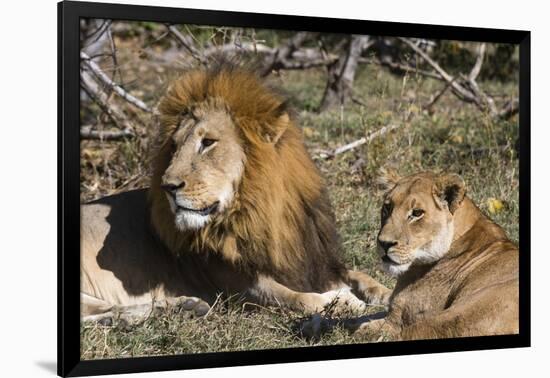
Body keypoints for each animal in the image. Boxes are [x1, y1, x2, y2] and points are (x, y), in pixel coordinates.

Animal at [82, 65, 392, 322]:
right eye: (175, 145)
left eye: (208, 142)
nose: (168, 186)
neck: (263, 212)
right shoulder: (240, 287)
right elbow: (300, 298)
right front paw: (343, 301)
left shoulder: (313, 262)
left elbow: (362, 276)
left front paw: (389, 293)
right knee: (102, 312)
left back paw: (186, 307)